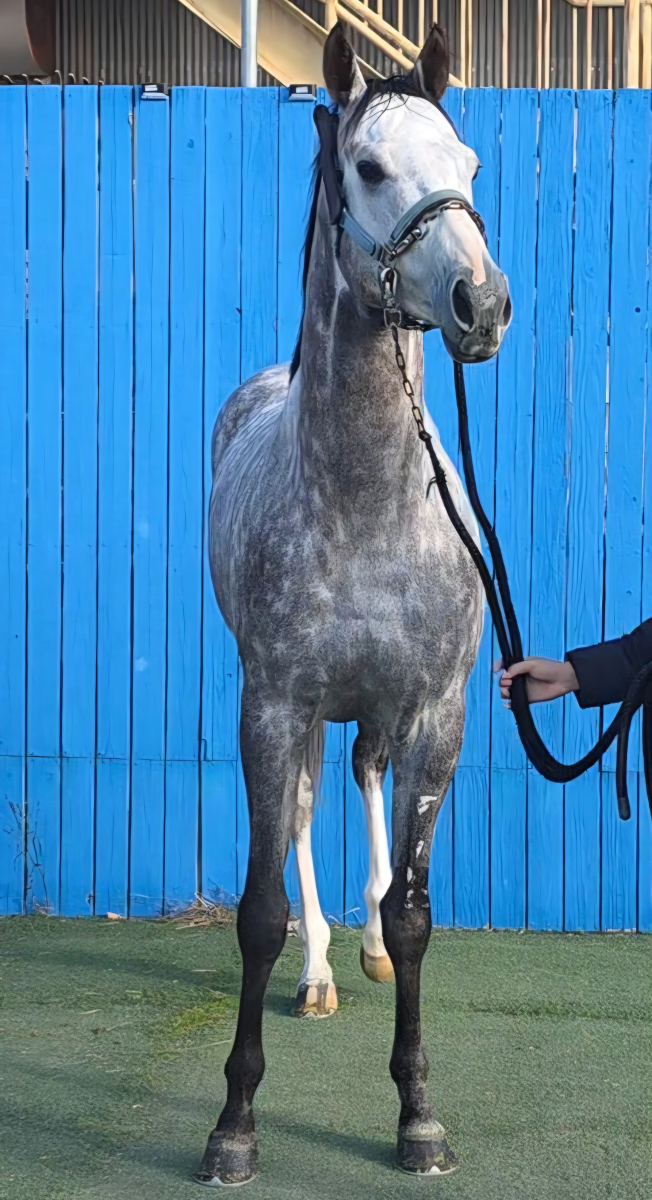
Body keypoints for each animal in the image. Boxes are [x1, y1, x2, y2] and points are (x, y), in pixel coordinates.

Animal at [196, 22, 511, 1186]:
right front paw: (235, 1123)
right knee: (298, 814)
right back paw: (323, 969)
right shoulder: (274, 704)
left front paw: (418, 1116)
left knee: (366, 783)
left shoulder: (438, 715)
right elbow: (256, 908)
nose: (482, 304)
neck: (370, 499)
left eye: (467, 164)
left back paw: (363, 949)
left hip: (376, 713)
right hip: (294, 711)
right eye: (369, 168)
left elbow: (414, 910)